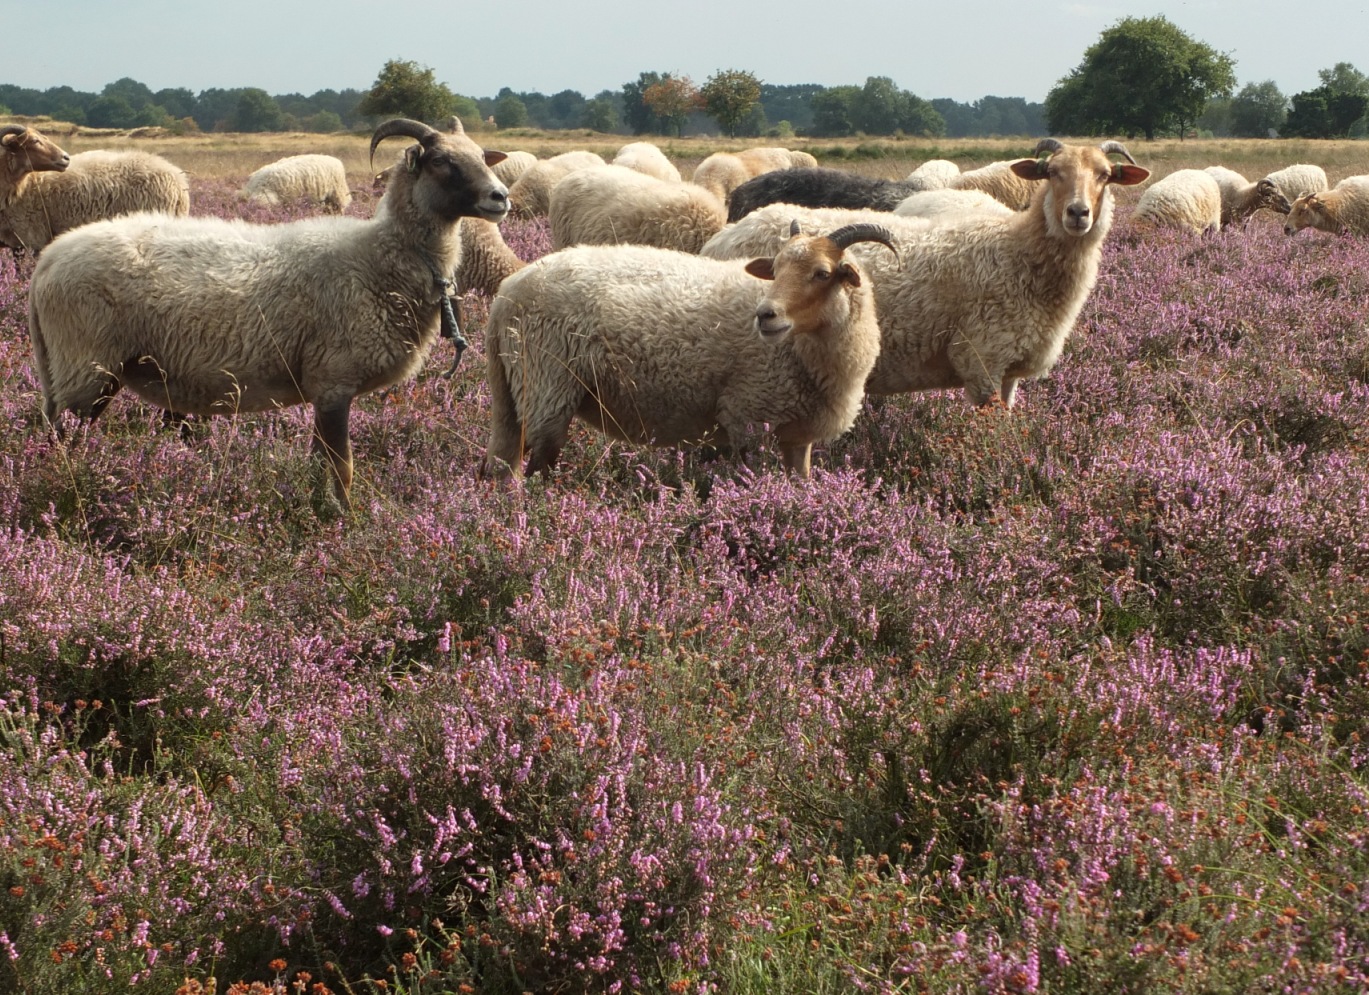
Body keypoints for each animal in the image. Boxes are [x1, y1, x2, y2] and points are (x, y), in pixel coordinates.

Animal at [28, 118, 514, 514]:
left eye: (480, 156)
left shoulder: (323, 386)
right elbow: (343, 467)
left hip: (72, 370)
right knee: (61, 440)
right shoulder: (334, 380)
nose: (500, 197)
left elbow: (321, 463)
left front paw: (319, 511)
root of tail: (47, 263)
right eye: (442, 162)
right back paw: (62, 490)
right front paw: (346, 522)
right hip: (85, 365)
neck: (379, 256)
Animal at [481, 220, 898, 481]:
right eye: (776, 269)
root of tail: (506, 294)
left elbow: (801, 484)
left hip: (511, 391)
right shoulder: (748, 416)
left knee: (503, 468)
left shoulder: (797, 437)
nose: (765, 315)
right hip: (547, 386)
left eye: (823, 273)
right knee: (538, 469)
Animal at [700, 136, 1149, 407]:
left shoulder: (1009, 370)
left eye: (1105, 176)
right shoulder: (980, 359)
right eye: (1052, 172)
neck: (1016, 251)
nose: (1078, 213)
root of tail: (724, 234)